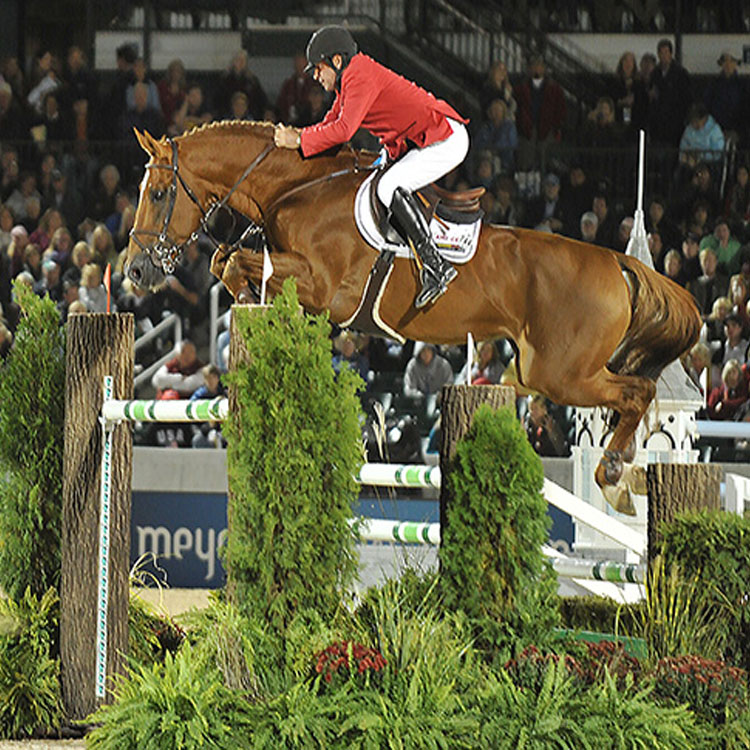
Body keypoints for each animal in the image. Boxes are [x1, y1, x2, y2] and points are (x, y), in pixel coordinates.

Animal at [125, 123, 704, 516]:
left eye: (159, 194)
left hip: (562, 373)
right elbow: (225, 261)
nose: (134, 270)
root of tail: (616, 263)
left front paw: (252, 296)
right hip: (539, 368)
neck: (297, 189)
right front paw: (253, 300)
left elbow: (237, 264)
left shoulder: (324, 286)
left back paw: (614, 474)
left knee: (637, 392)